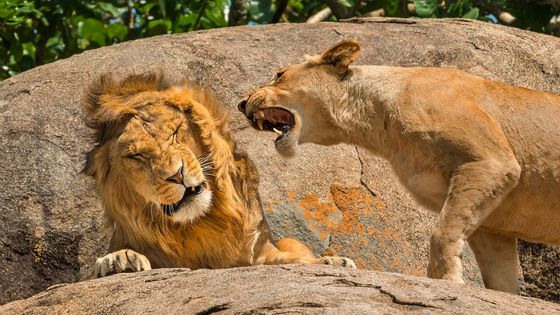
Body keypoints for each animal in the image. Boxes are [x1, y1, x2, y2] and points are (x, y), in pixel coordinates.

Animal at [82, 73, 354, 278]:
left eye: (175, 132)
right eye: (135, 156)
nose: (177, 175)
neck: (201, 223)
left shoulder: (260, 251)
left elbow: (290, 260)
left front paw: (331, 262)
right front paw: (119, 259)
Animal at [238, 40, 560, 296]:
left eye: (279, 74)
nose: (242, 103)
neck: (378, 121)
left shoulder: (491, 162)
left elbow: (442, 232)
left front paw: (445, 281)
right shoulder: (492, 224)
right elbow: (499, 277)